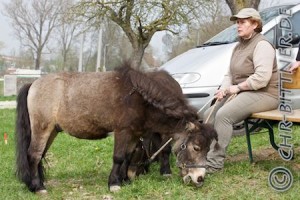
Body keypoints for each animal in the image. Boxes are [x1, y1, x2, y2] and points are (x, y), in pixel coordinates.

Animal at [15, 61, 217, 193]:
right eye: (196, 147)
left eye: (208, 149)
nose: (199, 178)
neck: (139, 99)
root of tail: (33, 84)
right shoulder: (122, 131)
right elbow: (119, 157)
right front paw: (114, 183)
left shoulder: (134, 134)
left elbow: (127, 156)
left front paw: (124, 179)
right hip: (42, 128)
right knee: (34, 155)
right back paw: (38, 187)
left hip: (52, 131)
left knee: (40, 155)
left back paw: (35, 183)